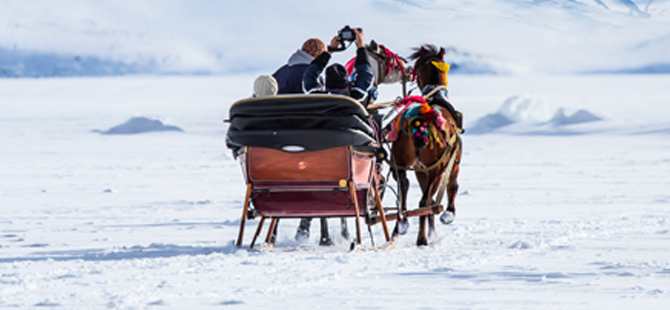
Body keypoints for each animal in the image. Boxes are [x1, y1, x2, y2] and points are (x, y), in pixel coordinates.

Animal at [388, 44, 462, 247]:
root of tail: (418, 121)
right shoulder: (452, 163)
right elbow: (453, 186)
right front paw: (448, 214)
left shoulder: (421, 170)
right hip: (437, 168)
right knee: (425, 201)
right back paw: (421, 238)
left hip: (400, 163)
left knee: (404, 189)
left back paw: (402, 223)